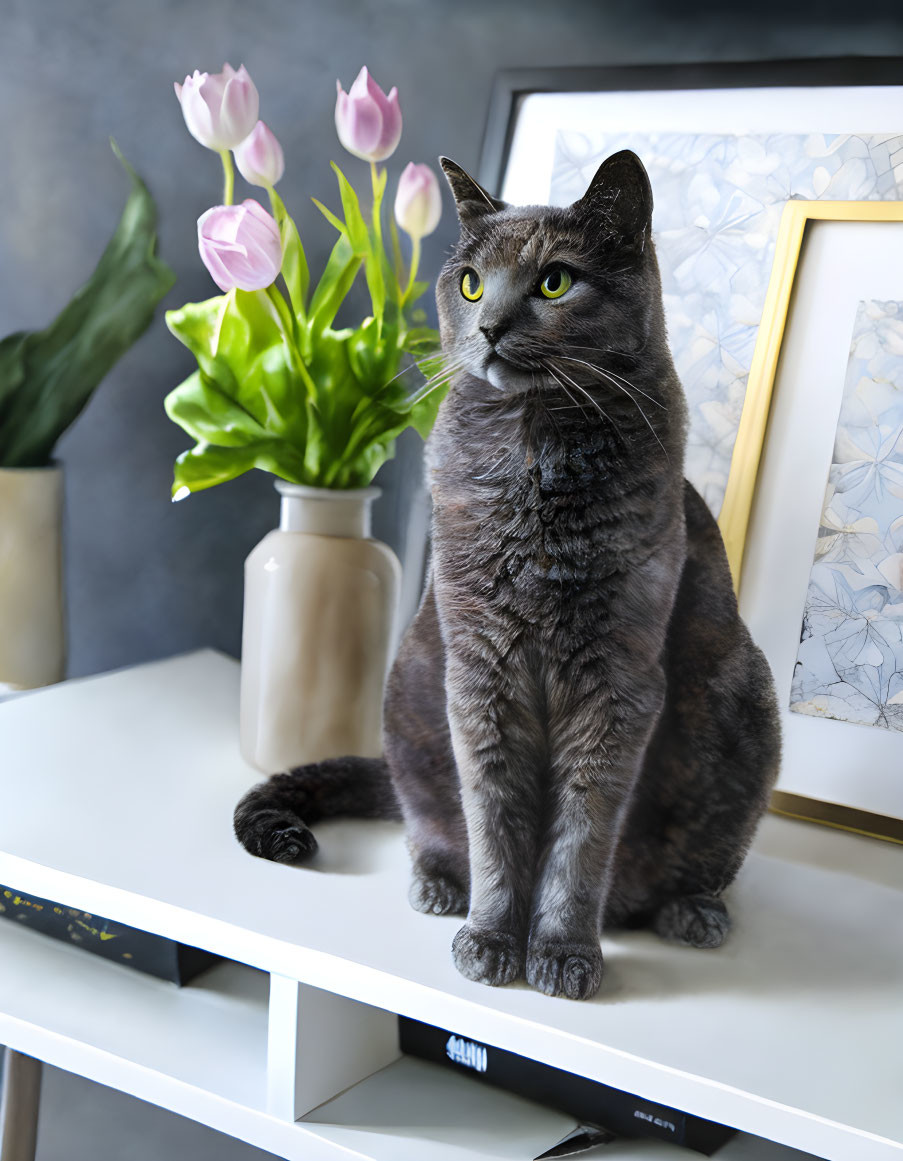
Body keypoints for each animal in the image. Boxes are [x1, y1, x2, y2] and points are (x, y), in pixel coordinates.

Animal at [234, 149, 779, 1003]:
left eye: (554, 282)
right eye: (468, 283)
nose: (489, 324)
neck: (534, 452)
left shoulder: (616, 682)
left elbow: (580, 836)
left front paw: (559, 951)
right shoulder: (479, 668)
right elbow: (492, 814)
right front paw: (492, 935)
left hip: (744, 701)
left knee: (701, 861)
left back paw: (690, 911)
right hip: (410, 688)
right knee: (427, 817)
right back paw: (436, 884)